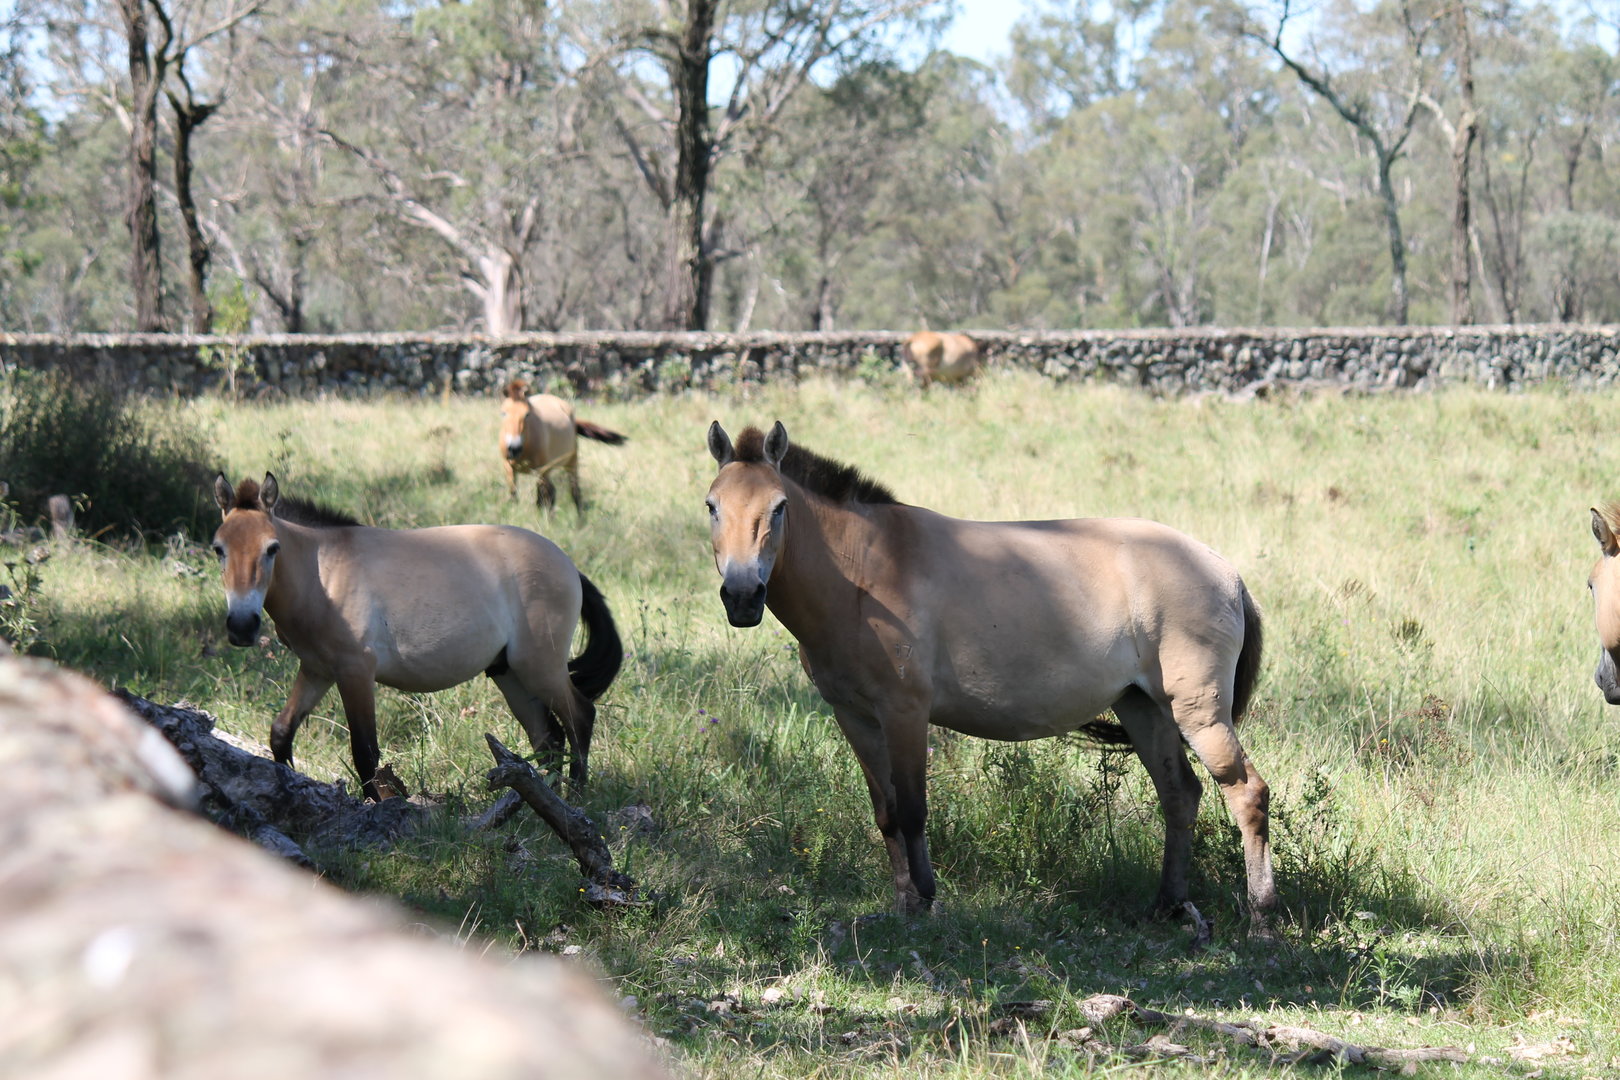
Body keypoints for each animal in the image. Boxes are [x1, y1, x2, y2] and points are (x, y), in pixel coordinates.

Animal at [211, 473, 622, 799]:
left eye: (272, 549)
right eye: (219, 549)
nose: (242, 626)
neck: (323, 573)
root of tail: (569, 566)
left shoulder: (355, 673)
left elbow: (365, 753)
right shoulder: (318, 670)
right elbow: (281, 732)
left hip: (540, 667)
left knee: (580, 718)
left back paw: (576, 799)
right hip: (510, 674)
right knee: (549, 739)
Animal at [499, 379, 627, 516]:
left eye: (527, 414)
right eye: (503, 413)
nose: (514, 448)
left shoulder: (542, 470)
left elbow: (542, 499)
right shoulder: (509, 468)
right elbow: (514, 496)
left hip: (570, 464)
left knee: (574, 493)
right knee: (552, 492)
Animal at [703, 422, 1277, 936]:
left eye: (779, 507)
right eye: (712, 506)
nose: (742, 596)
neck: (864, 574)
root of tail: (1226, 573)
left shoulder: (904, 712)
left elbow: (913, 810)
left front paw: (926, 899)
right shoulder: (855, 716)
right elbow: (886, 812)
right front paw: (903, 905)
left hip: (1198, 714)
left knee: (1247, 794)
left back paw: (1262, 918)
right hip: (1144, 709)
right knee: (1180, 794)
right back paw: (1167, 906)